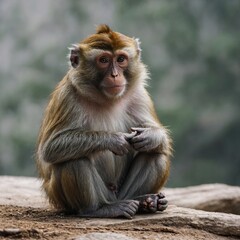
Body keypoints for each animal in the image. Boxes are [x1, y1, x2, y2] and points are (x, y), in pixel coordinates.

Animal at [35, 24, 172, 219]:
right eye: (104, 60)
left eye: (121, 59)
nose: (115, 75)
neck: (106, 98)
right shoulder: (67, 96)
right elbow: (51, 147)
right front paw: (114, 139)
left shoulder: (139, 95)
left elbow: (160, 139)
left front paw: (150, 136)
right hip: (65, 197)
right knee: (73, 161)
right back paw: (97, 209)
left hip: (122, 192)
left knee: (155, 154)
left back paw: (145, 202)